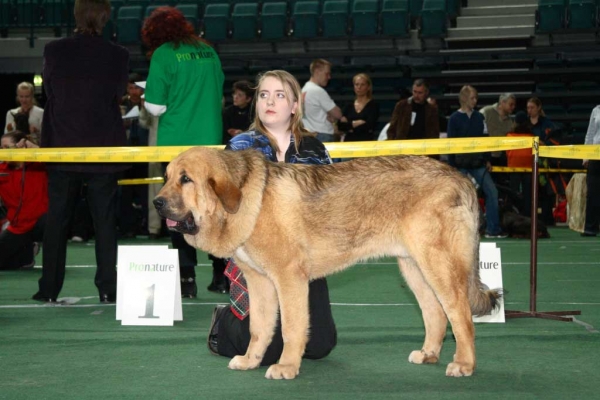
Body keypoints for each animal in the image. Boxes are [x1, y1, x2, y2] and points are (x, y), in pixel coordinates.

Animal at [152, 146, 500, 378]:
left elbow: (291, 329)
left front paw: (286, 367)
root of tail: (462, 179)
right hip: (413, 267)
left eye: (186, 179)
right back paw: (428, 354)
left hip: (438, 265)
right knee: (435, 314)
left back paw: (464, 364)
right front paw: (251, 360)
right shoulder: (260, 283)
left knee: (460, 315)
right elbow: (259, 328)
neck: (251, 200)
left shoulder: (288, 279)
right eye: (166, 177)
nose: (156, 202)